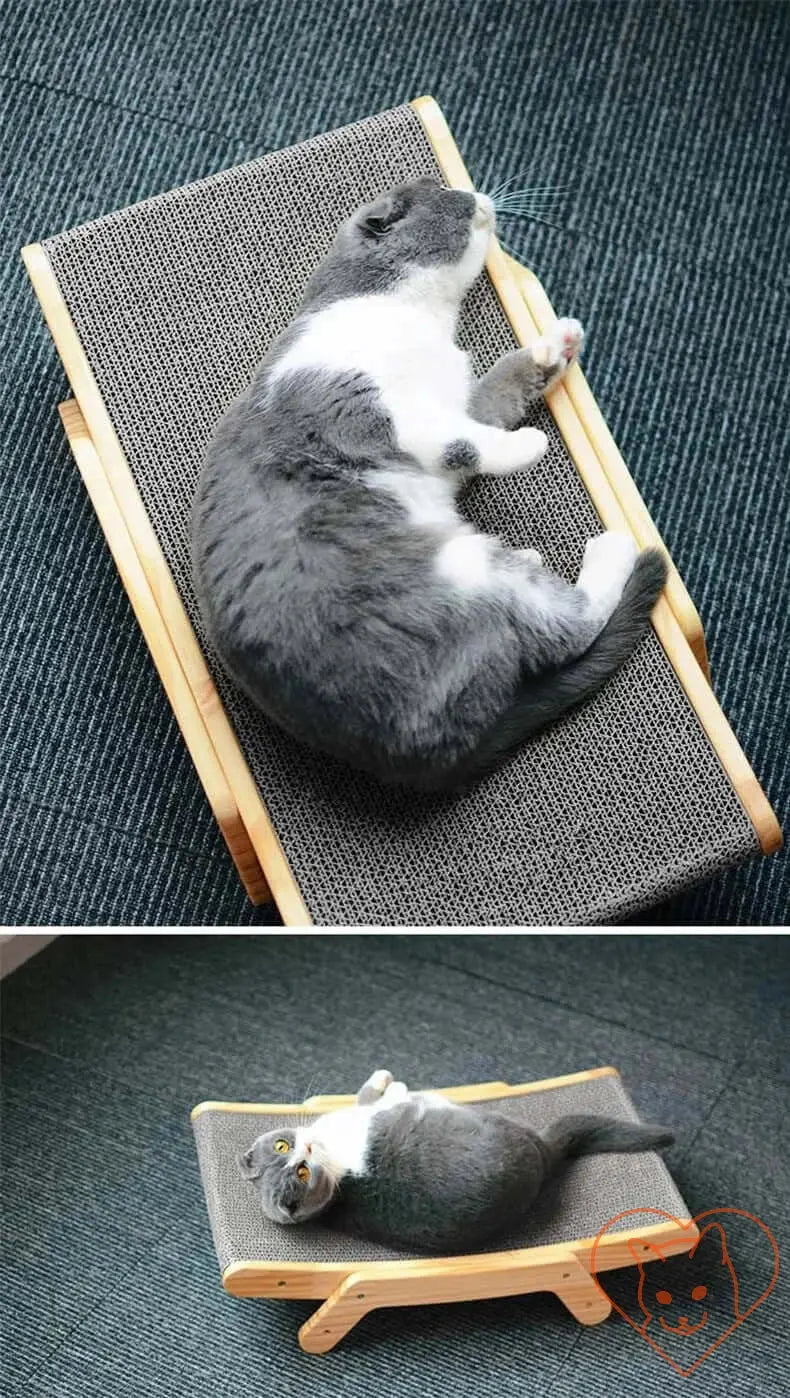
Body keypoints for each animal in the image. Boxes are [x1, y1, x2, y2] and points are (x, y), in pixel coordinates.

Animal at [192, 176, 665, 794]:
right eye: (448, 193)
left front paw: (553, 344)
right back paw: (611, 550)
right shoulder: (353, 407)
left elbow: (494, 397)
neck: (415, 318)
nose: (478, 192)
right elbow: (457, 439)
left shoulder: (460, 403)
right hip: (464, 576)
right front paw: (528, 445)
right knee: (569, 628)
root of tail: (434, 754)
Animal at [239, 1068, 671, 1258]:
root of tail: (545, 1156)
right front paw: (389, 1081)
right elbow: (377, 1096)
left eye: (283, 1147)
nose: (306, 1149)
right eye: (302, 1172)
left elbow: (365, 1094)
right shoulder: (375, 1115)